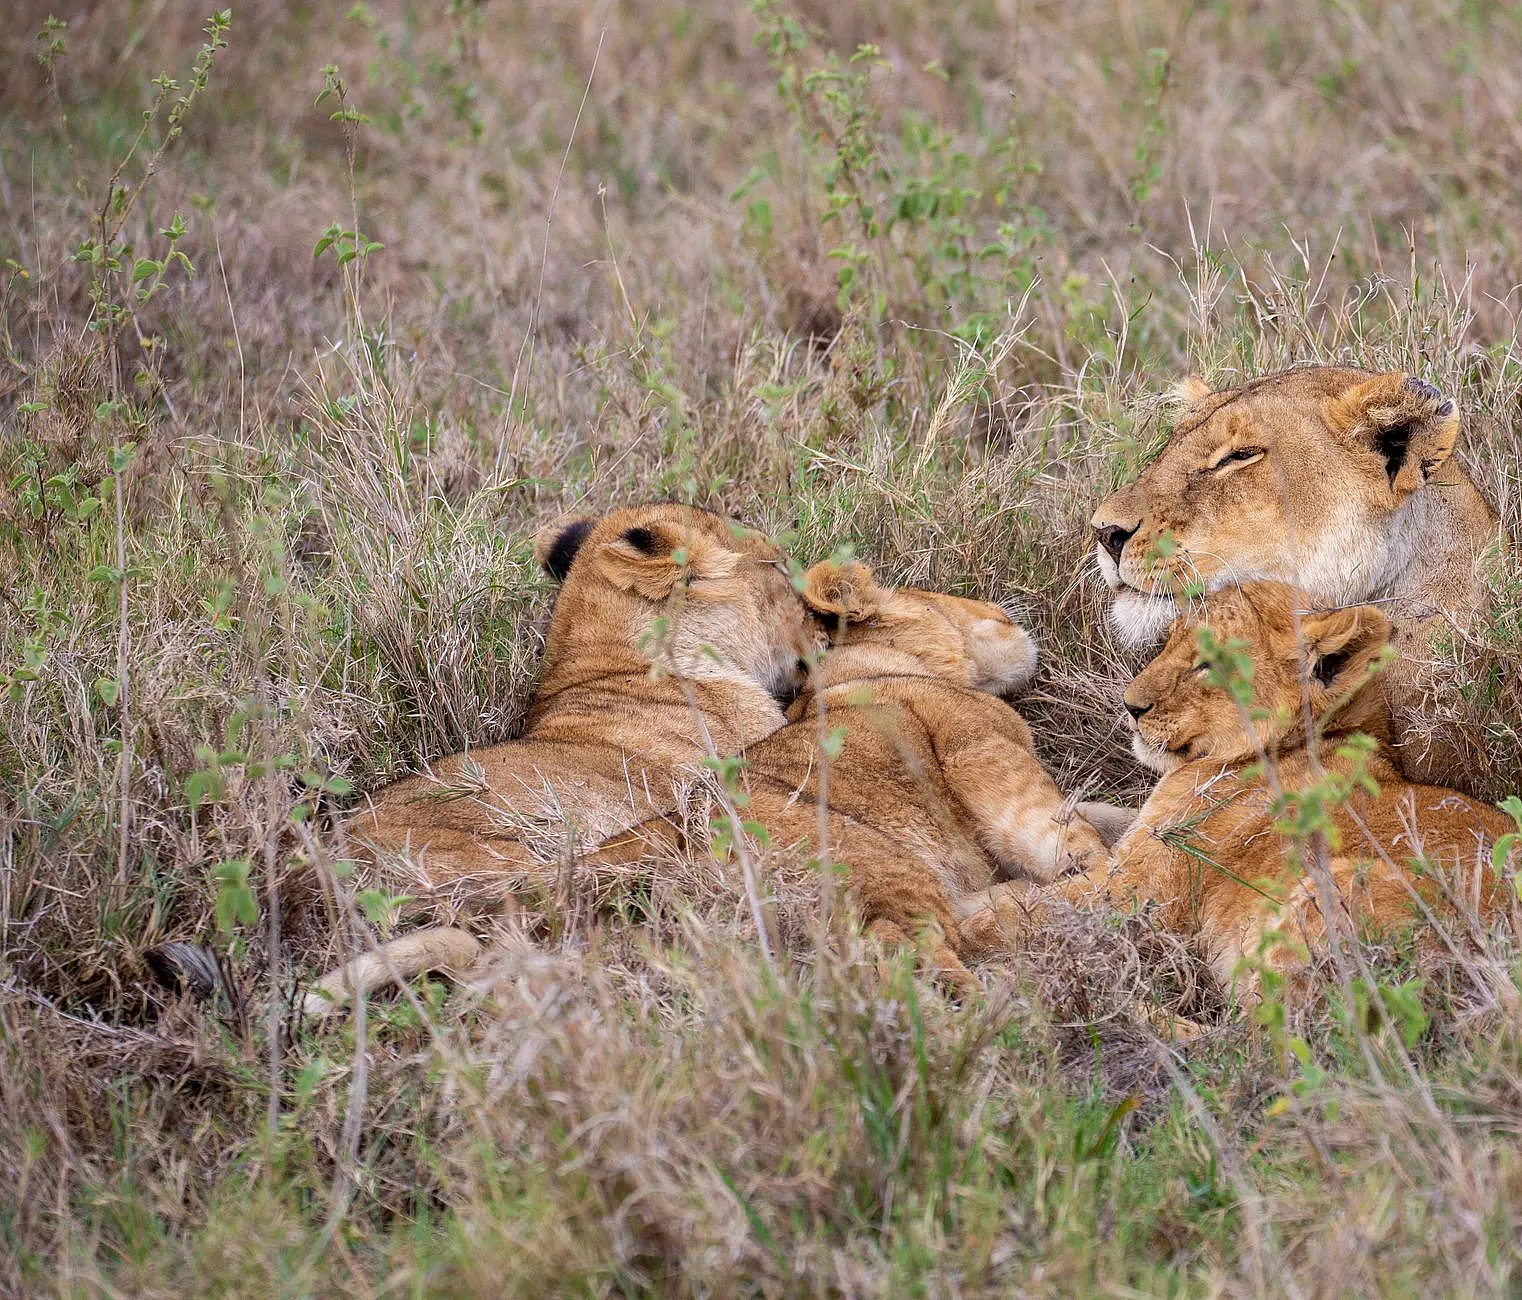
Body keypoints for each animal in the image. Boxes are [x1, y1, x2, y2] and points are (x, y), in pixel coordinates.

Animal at [305, 560, 1112, 1010]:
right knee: (920, 961)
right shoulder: (988, 760)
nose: (1007, 612)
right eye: (949, 600)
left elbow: (1110, 813)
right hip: (882, 865)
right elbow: (1082, 846)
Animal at [976, 581, 1514, 998]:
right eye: (1168, 640)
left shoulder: (1134, 895)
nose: (1131, 706)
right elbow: (1100, 819)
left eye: (1208, 663)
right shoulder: (1139, 836)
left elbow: (1016, 916)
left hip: (1324, 895)